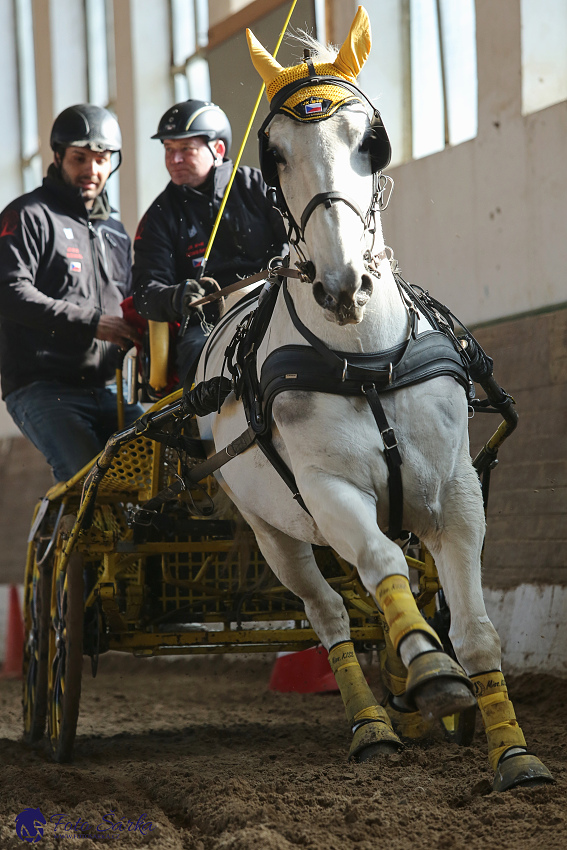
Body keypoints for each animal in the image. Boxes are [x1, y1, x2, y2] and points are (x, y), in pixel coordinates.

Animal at [195, 4, 552, 788]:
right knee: (330, 611)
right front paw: (429, 672)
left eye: (371, 141)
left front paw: (511, 751)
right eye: (273, 153)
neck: (366, 360)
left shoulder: (455, 493)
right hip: (270, 531)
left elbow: (475, 630)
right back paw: (372, 725)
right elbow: (382, 567)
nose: (342, 285)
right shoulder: (327, 491)